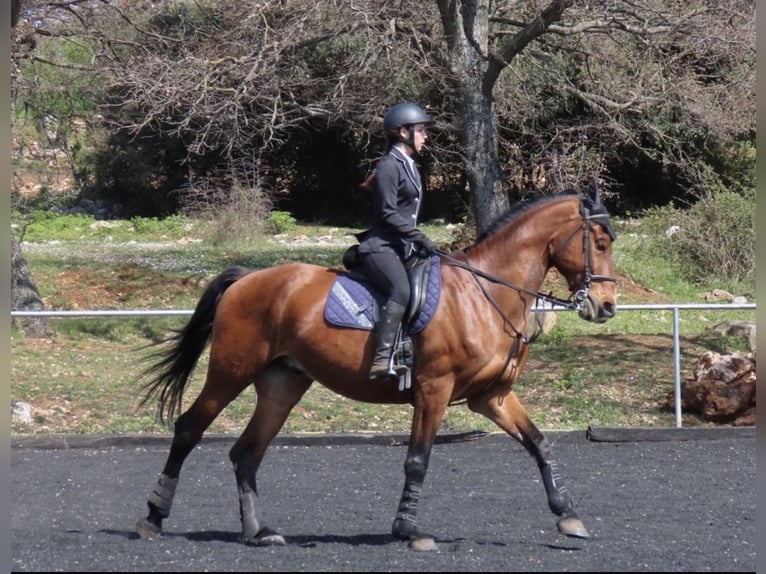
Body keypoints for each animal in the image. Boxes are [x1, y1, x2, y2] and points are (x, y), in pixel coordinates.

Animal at [136, 182, 616, 552]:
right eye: (601, 243)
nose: (606, 306)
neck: (486, 295)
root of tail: (246, 279)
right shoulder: (434, 389)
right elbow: (418, 461)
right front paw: (409, 531)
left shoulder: (490, 396)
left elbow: (539, 444)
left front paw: (569, 517)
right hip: (231, 371)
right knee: (189, 429)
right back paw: (153, 518)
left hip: (282, 384)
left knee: (247, 453)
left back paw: (258, 531)